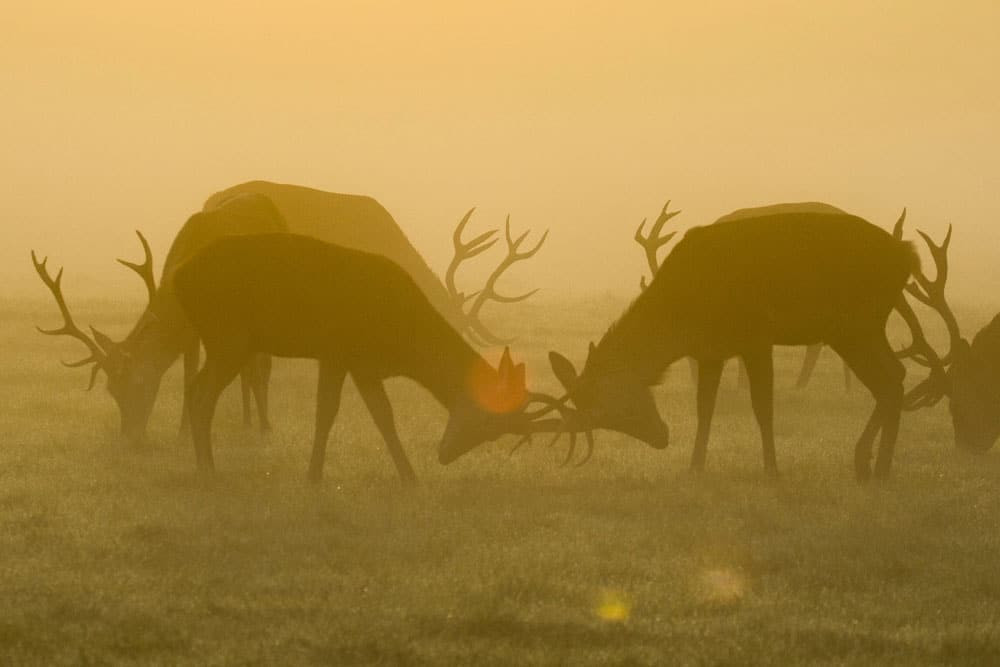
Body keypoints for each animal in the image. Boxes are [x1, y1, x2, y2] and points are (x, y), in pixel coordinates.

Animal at [173, 232, 564, 481]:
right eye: (486, 420)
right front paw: (314, 475)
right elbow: (334, 412)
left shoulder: (363, 363)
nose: (444, 454)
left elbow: (379, 414)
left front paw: (407, 476)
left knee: (193, 387)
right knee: (203, 395)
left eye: (495, 434)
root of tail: (179, 277)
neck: (401, 339)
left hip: (222, 340)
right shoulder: (339, 349)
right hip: (229, 336)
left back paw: (201, 464)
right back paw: (208, 469)